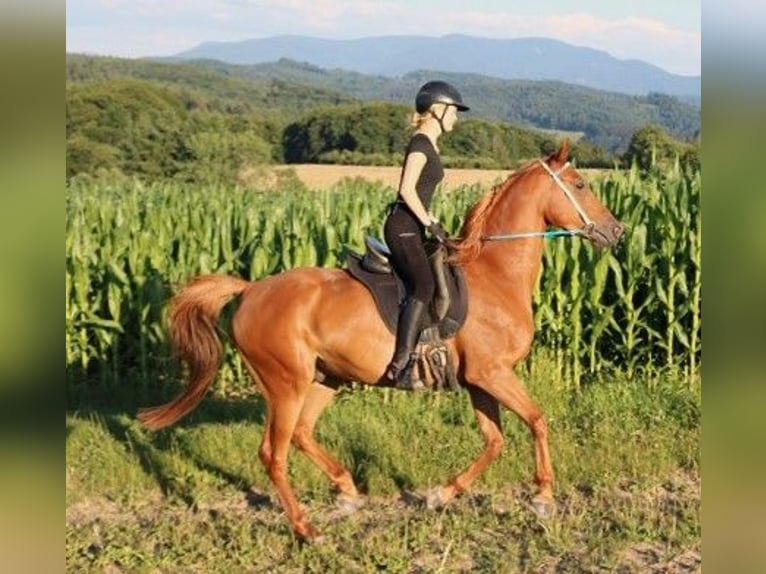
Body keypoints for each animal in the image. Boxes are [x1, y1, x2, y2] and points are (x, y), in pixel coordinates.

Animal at [138, 140, 623, 541]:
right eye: (580, 185)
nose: (615, 231)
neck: (495, 275)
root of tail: (251, 289)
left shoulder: (479, 379)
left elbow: (495, 440)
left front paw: (442, 494)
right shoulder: (493, 373)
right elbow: (537, 420)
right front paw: (543, 497)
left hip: (324, 379)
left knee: (303, 435)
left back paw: (347, 491)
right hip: (284, 384)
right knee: (273, 454)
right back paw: (306, 529)